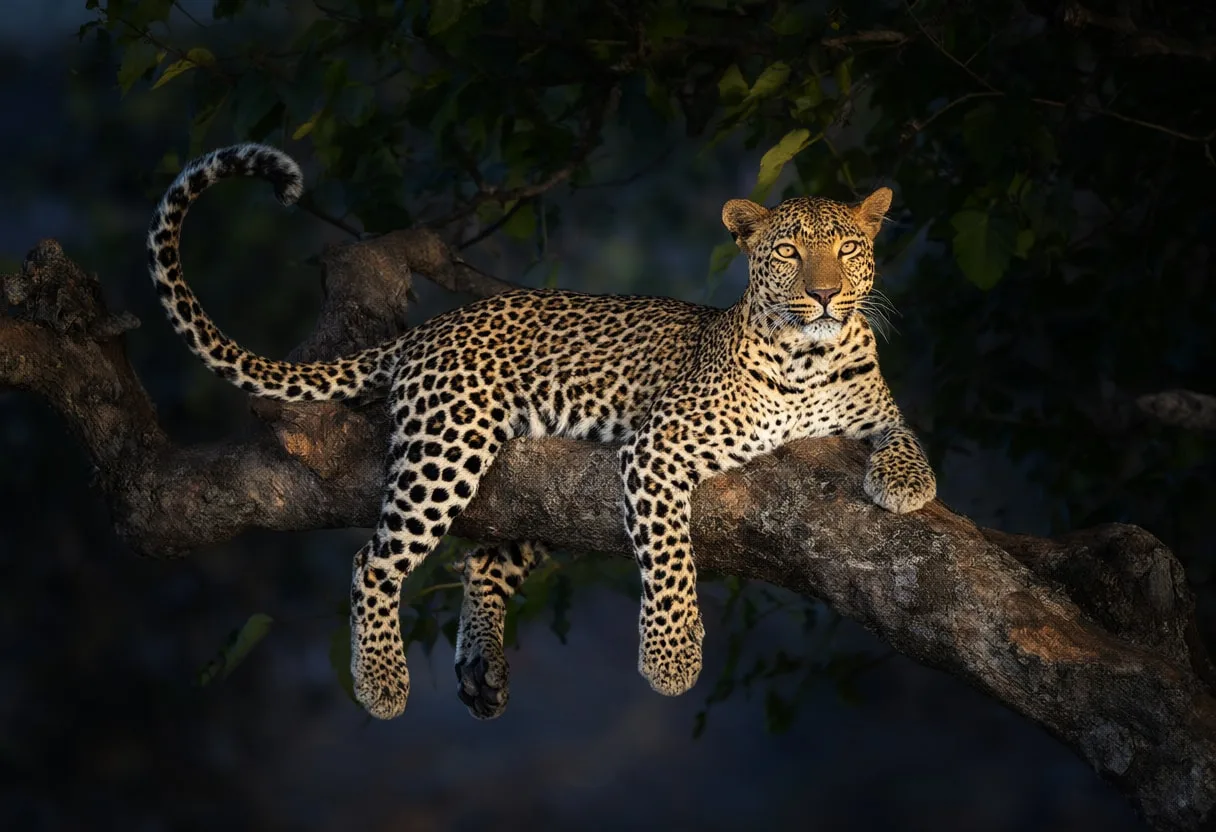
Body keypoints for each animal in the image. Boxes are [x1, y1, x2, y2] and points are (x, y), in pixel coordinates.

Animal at [145, 143, 937, 721]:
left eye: (847, 248)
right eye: (789, 253)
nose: (826, 295)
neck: (811, 356)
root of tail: (428, 328)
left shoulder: (874, 408)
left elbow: (904, 434)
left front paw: (908, 484)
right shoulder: (657, 449)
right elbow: (670, 562)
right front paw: (672, 659)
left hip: (540, 493)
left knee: (482, 563)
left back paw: (481, 668)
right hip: (450, 445)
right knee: (375, 560)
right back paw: (381, 682)